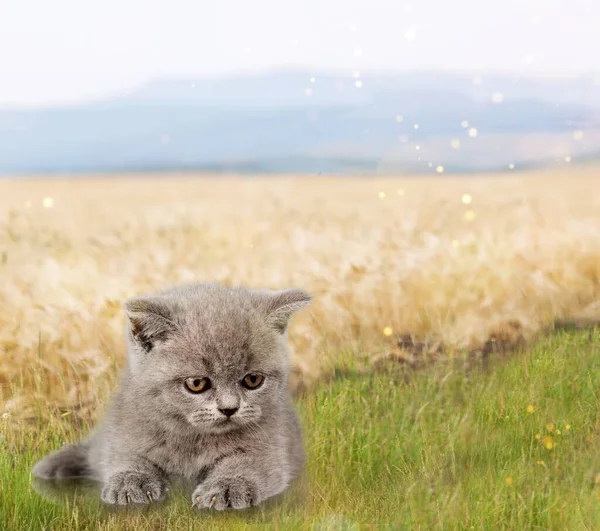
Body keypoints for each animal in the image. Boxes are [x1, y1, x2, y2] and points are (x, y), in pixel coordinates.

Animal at [31, 282, 314, 512]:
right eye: (196, 384)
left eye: (253, 380)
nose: (229, 408)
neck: (193, 439)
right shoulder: (124, 430)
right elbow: (125, 458)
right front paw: (131, 483)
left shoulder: (271, 445)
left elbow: (249, 465)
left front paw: (226, 488)